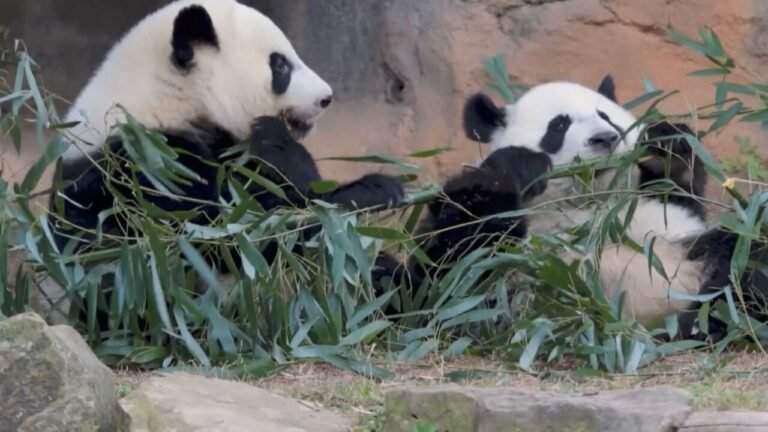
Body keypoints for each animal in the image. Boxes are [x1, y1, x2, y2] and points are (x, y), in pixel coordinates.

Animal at [41, 0, 404, 324]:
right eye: (280, 66)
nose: (326, 98)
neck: (170, 98)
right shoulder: (144, 166)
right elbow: (239, 234)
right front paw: (370, 189)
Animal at [378, 75, 768, 341]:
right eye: (559, 125)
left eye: (606, 116)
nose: (605, 139)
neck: (584, 203)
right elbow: (449, 275)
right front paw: (516, 167)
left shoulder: (656, 213)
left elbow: (677, 192)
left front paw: (668, 144)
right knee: (390, 286)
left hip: (690, 256)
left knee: (744, 256)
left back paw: (715, 317)